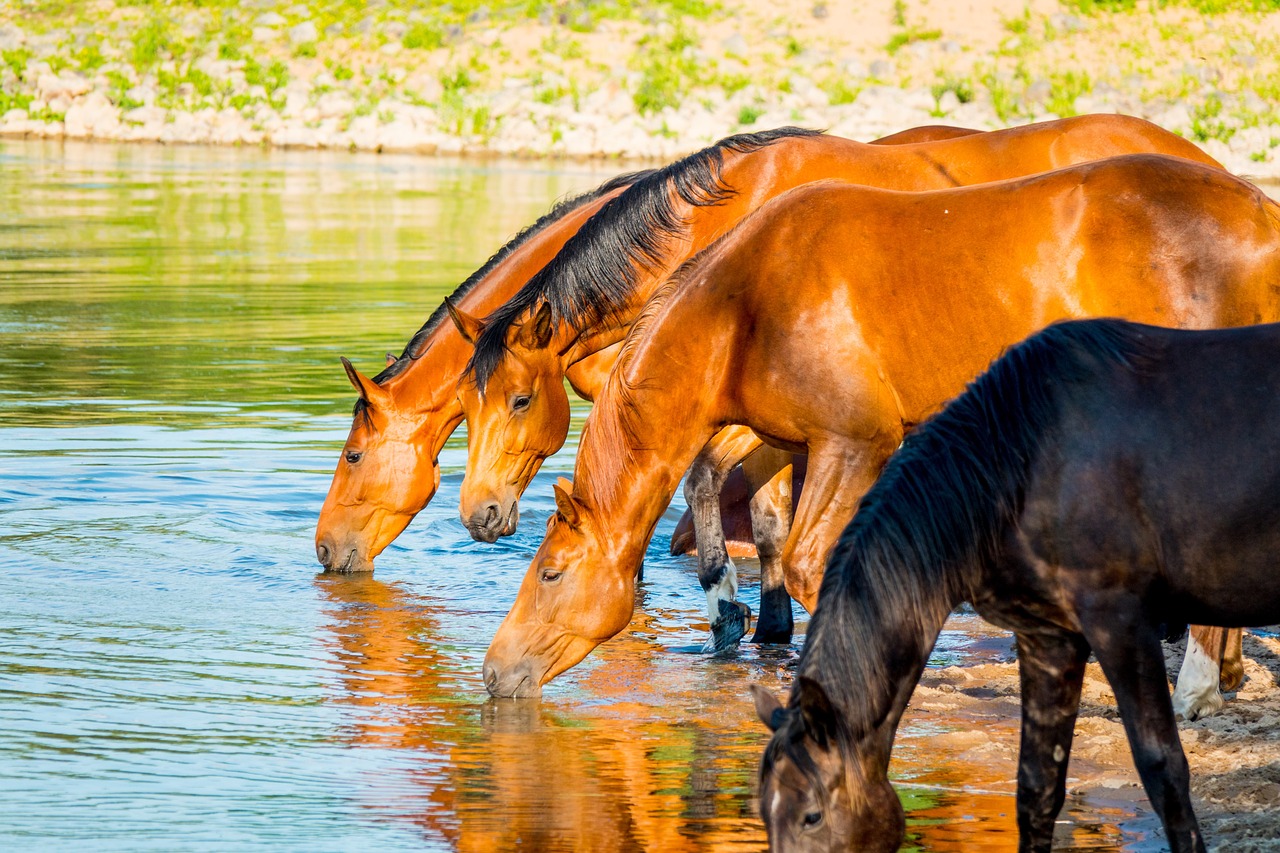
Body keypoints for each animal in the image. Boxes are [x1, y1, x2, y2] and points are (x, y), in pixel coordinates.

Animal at [478, 154, 1280, 696]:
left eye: (550, 573)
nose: (491, 672)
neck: (744, 306)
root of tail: (1259, 211)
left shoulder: (857, 443)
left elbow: (818, 562)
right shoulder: (786, 440)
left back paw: (1199, 680)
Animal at [752, 317, 1280, 850]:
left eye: (812, 816)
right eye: (765, 814)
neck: (1025, 457)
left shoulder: (1120, 622)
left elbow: (1163, 769)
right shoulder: (1049, 637)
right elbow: (1037, 786)